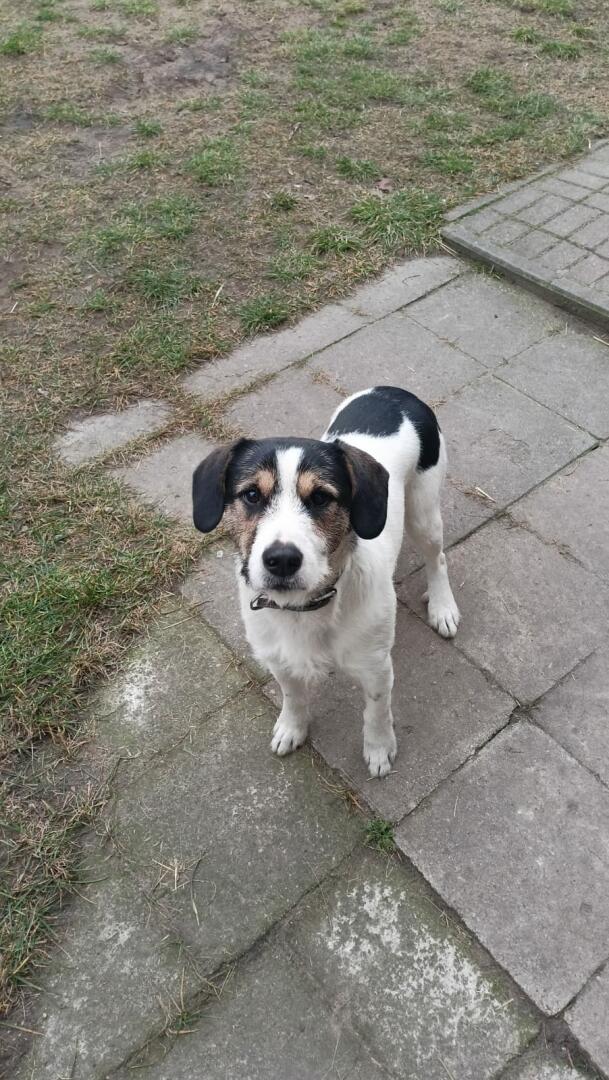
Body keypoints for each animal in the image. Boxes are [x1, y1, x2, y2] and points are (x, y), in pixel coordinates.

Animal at [192, 385, 460, 778]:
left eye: (320, 497)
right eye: (251, 495)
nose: (282, 560)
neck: (305, 609)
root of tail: (395, 392)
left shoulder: (376, 667)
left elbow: (376, 712)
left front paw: (379, 749)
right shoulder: (278, 659)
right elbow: (292, 697)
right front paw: (292, 727)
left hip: (423, 512)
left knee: (436, 558)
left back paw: (443, 607)